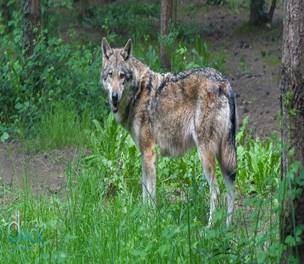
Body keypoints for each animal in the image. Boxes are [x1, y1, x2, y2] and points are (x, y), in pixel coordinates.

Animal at [100, 38, 238, 226]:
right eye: (110, 75)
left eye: (122, 76)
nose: (114, 96)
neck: (138, 93)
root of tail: (224, 82)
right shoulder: (143, 155)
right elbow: (144, 192)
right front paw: (143, 217)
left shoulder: (149, 153)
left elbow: (150, 194)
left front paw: (149, 220)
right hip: (223, 154)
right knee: (231, 189)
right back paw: (227, 226)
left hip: (206, 154)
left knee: (216, 191)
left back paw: (209, 227)